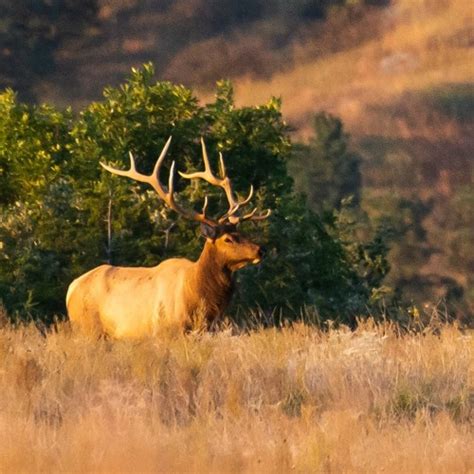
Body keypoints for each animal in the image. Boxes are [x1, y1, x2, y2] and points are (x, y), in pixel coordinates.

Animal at [65, 137, 270, 336]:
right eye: (227, 239)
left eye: (242, 233)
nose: (260, 250)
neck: (197, 294)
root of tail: (70, 290)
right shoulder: (169, 329)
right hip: (88, 328)